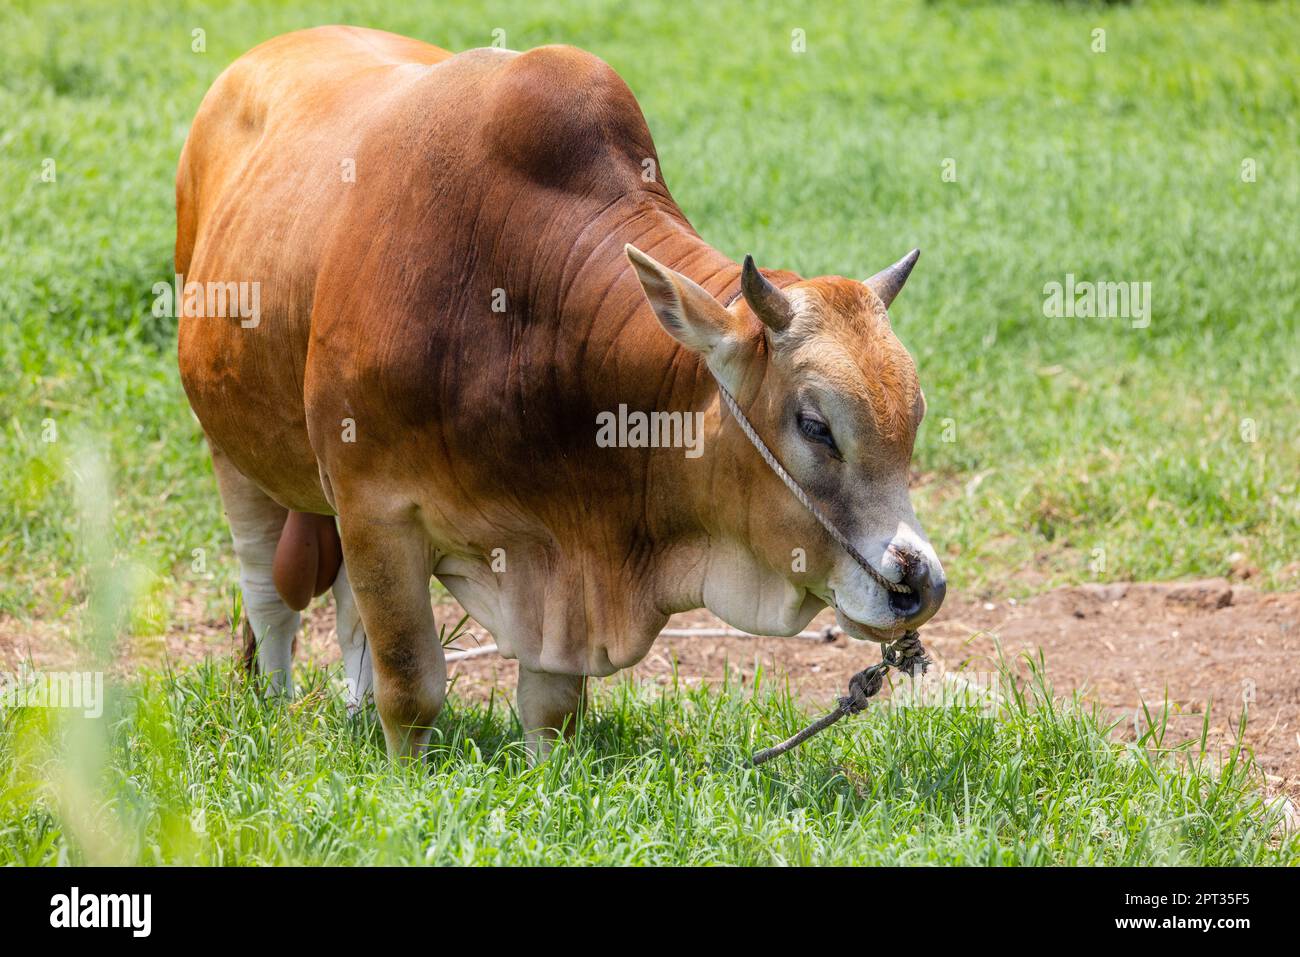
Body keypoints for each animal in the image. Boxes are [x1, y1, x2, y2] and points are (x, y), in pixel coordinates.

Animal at [175, 26, 946, 759]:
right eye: (815, 425)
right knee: (269, 595)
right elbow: (412, 682)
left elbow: (551, 708)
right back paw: (276, 704)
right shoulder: (376, 508)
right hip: (231, 451)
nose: (919, 585)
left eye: (914, 420)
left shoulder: (557, 574)